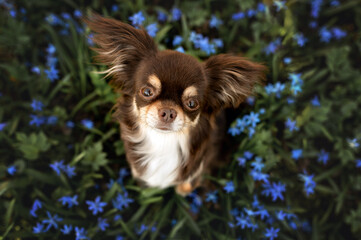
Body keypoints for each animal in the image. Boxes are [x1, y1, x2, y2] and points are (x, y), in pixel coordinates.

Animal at [84, 13, 264, 195]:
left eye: (192, 103)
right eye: (147, 92)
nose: (168, 112)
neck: (163, 143)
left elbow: (189, 181)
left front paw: (183, 189)